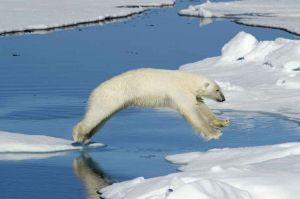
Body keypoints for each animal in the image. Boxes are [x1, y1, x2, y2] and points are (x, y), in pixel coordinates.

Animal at [72, 68, 230, 143]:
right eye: (217, 90)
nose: (223, 99)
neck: (186, 80)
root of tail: (94, 91)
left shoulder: (190, 94)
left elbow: (200, 105)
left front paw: (222, 122)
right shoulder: (178, 91)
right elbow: (191, 111)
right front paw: (214, 134)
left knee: (102, 119)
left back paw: (87, 135)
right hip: (110, 97)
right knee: (97, 114)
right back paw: (79, 135)